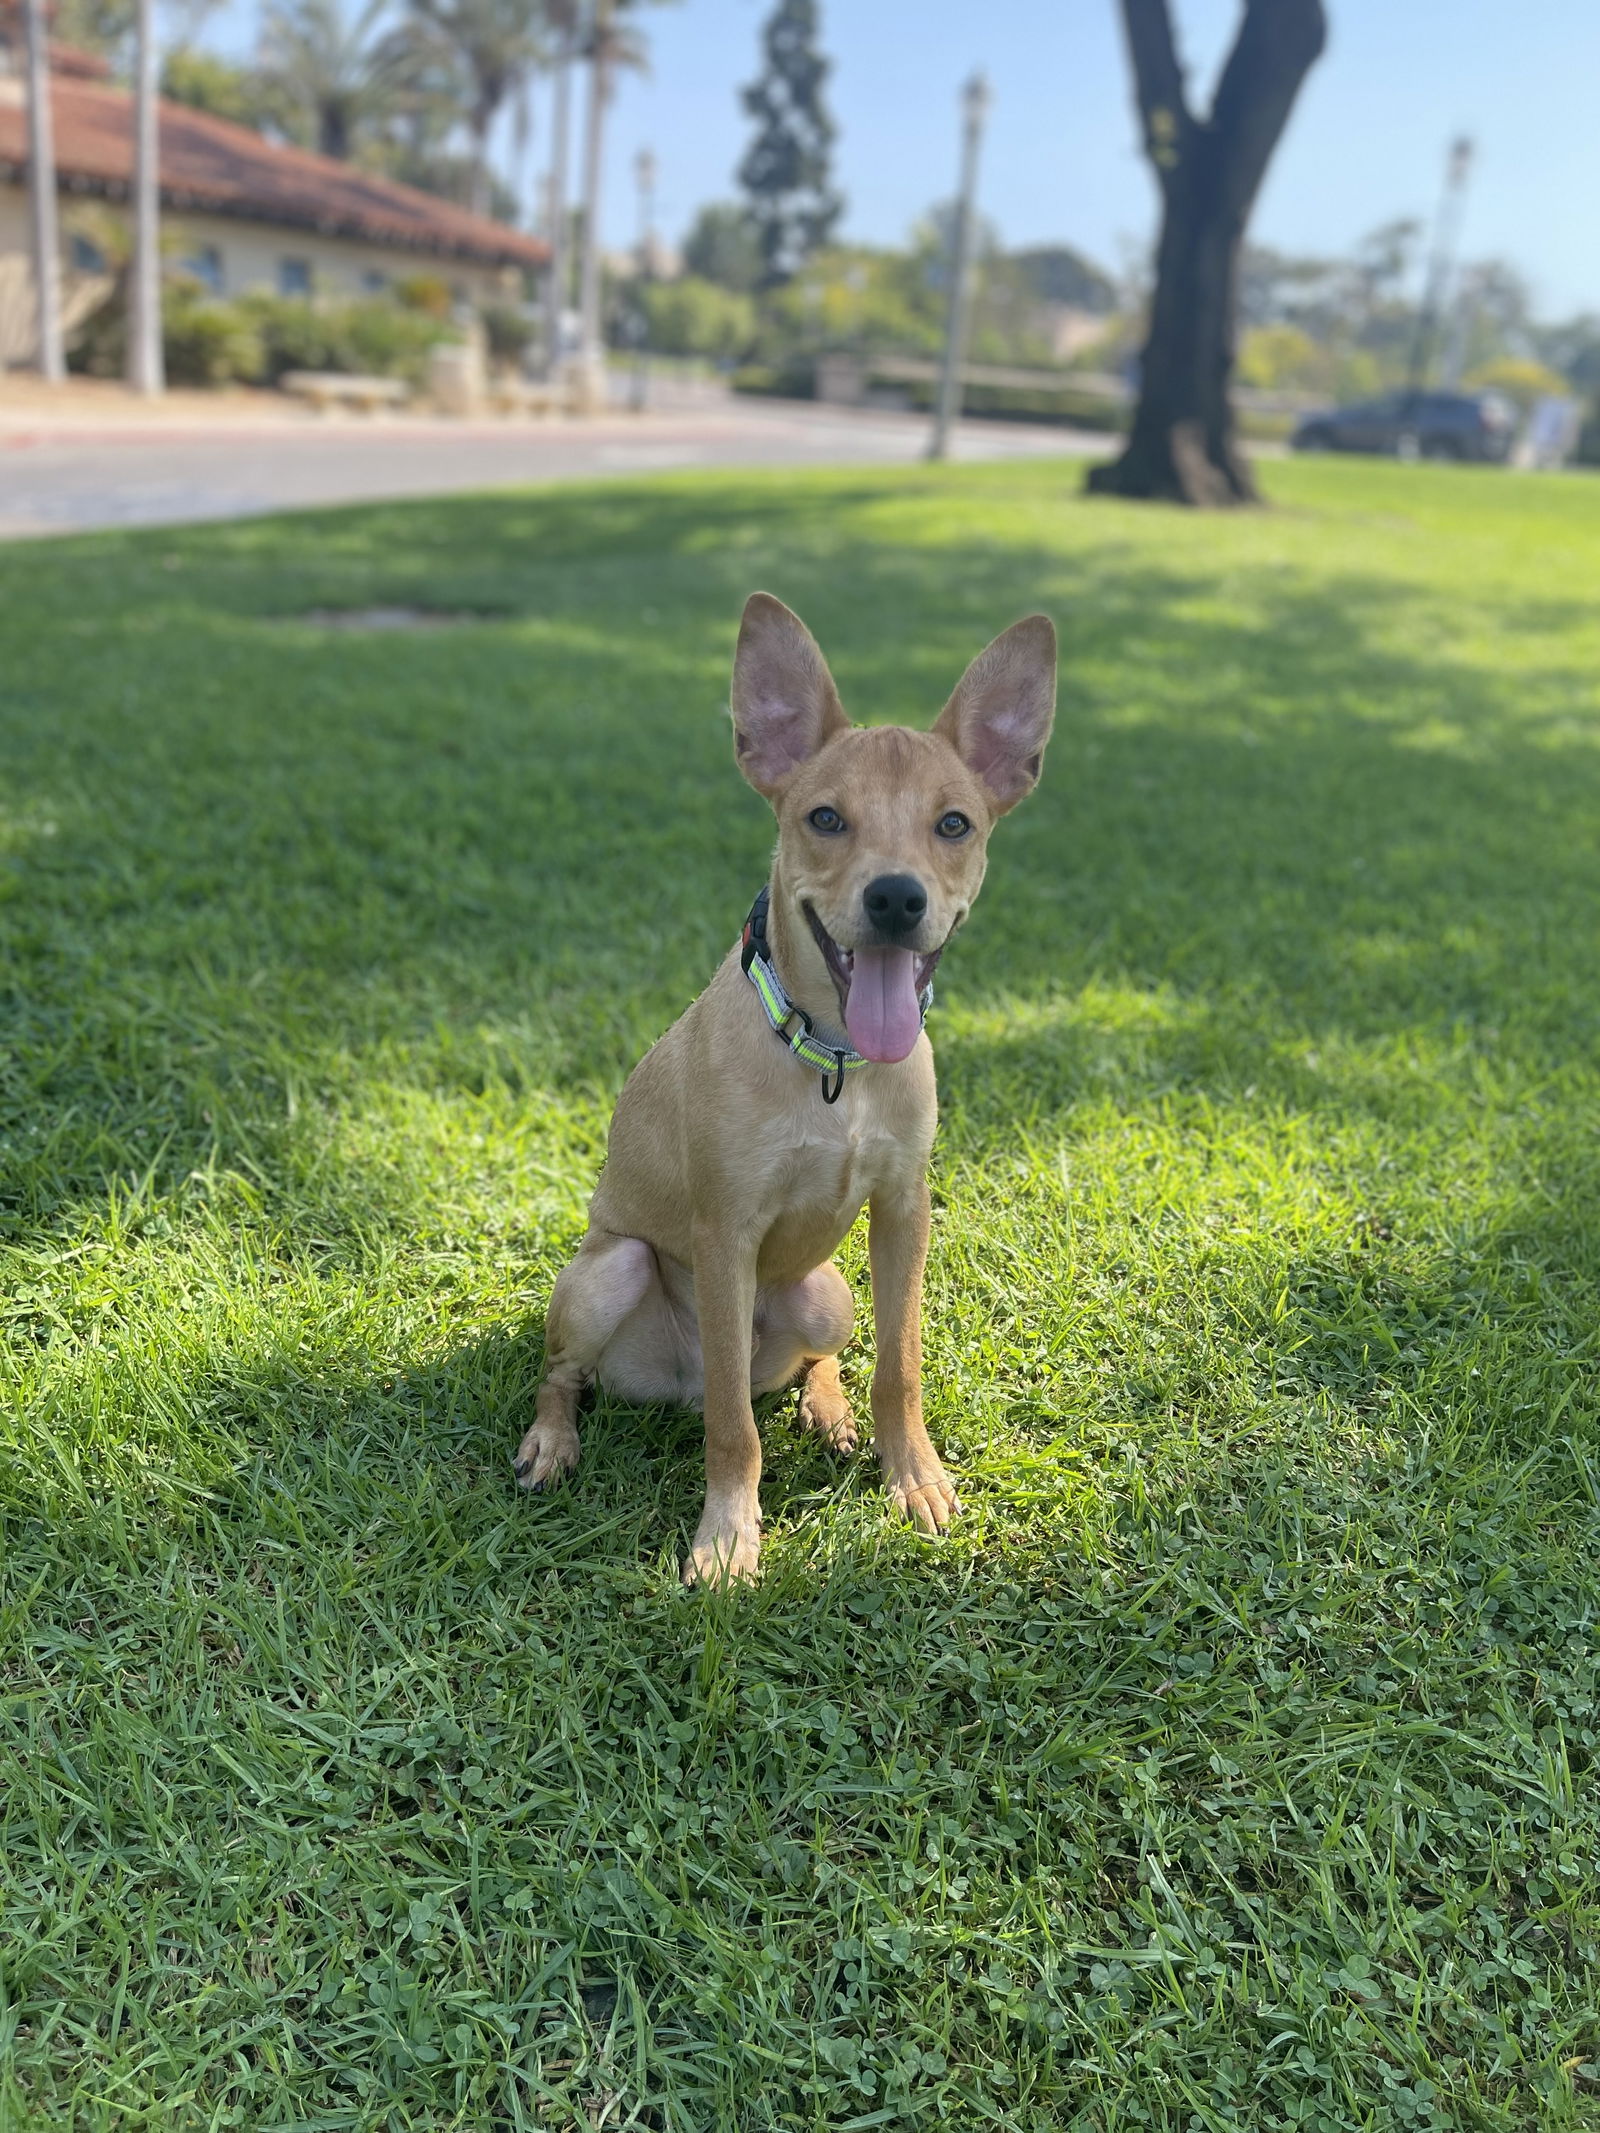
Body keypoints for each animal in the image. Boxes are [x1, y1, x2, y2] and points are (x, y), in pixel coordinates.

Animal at [520, 592, 1058, 1578]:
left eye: (953, 824)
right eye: (825, 818)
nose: (896, 898)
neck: (833, 1062)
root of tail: (675, 1383)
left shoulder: (905, 1209)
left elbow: (900, 1366)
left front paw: (912, 1474)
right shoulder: (725, 1229)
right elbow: (735, 1427)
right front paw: (728, 1537)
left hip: (825, 1291)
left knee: (817, 1360)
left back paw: (829, 1409)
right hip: (609, 1270)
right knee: (571, 1374)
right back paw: (552, 1442)